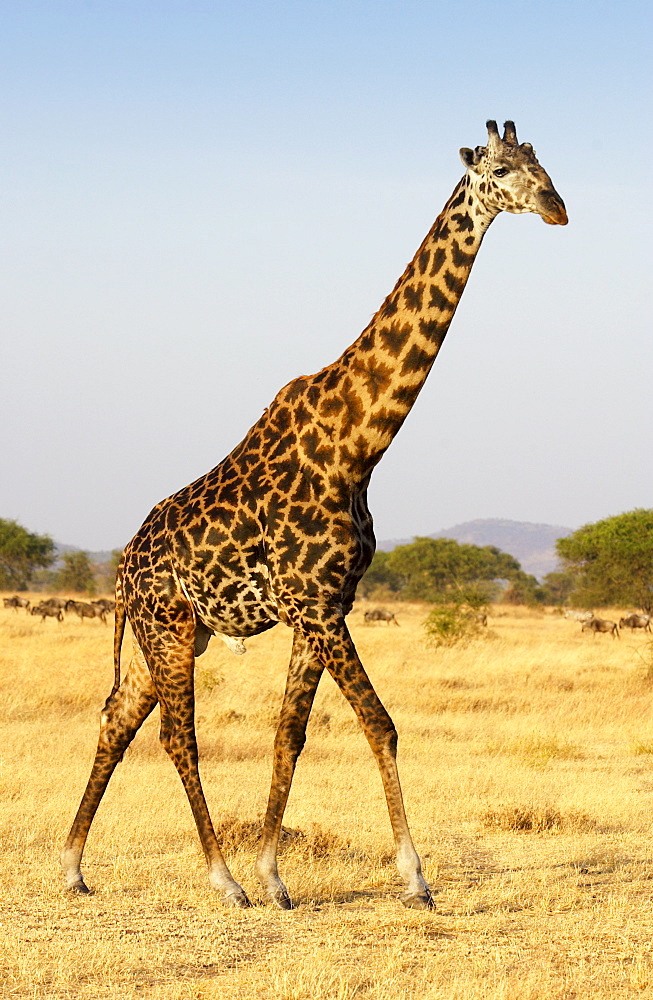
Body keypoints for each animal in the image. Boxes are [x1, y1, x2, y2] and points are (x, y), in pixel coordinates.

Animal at [63, 121, 568, 912]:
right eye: (496, 169)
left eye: (542, 161)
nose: (555, 207)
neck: (359, 441)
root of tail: (120, 566)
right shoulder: (317, 604)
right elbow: (379, 724)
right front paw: (414, 878)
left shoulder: (325, 603)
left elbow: (288, 735)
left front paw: (276, 875)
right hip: (167, 627)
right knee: (177, 735)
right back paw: (221, 877)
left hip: (170, 636)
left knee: (117, 717)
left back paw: (75, 866)